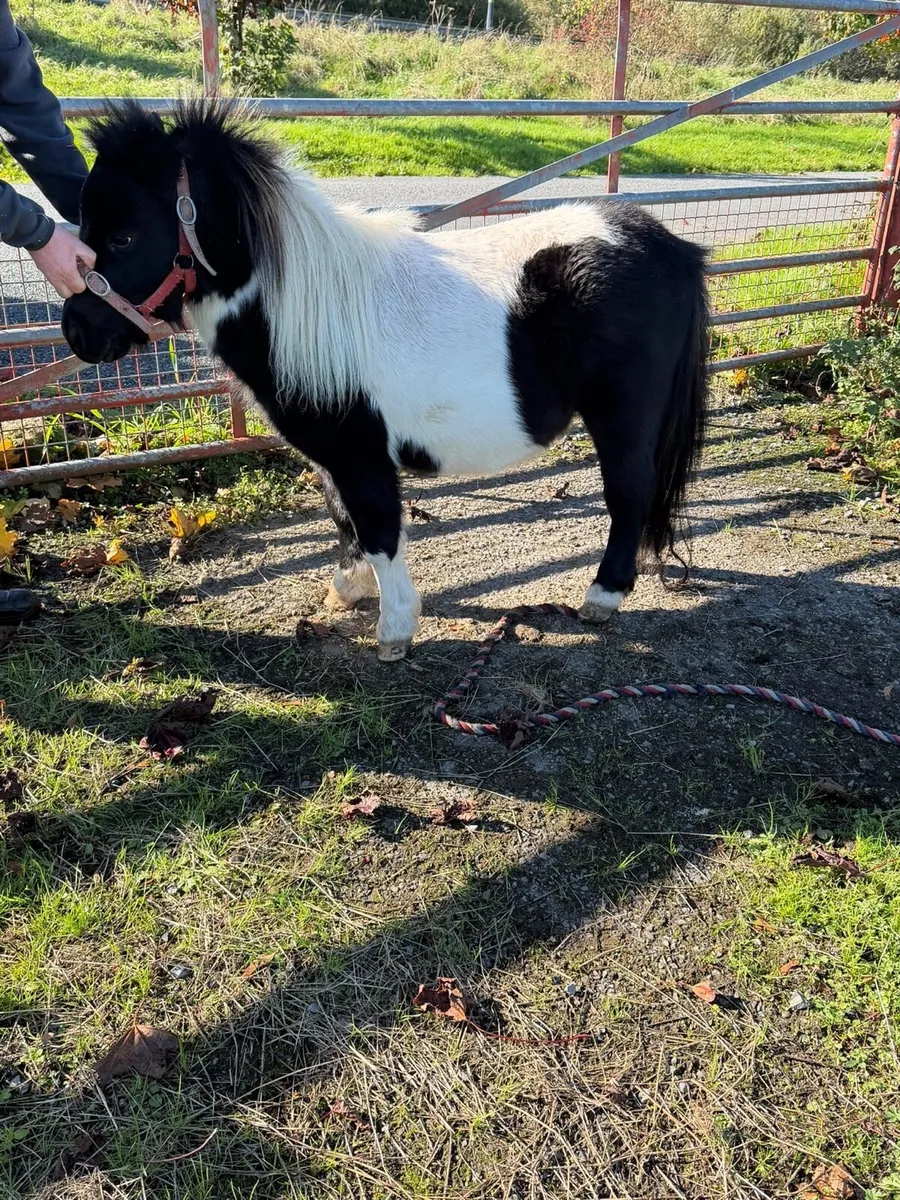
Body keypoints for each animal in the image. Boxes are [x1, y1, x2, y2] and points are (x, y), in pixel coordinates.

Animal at [63, 101, 709, 663]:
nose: (77, 332)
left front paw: (394, 629)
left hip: (622, 416)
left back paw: (602, 596)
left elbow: (378, 530)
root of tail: (671, 248)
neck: (307, 308)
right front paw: (346, 591)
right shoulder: (330, 457)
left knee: (628, 494)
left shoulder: (361, 454)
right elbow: (343, 519)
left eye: (123, 236)